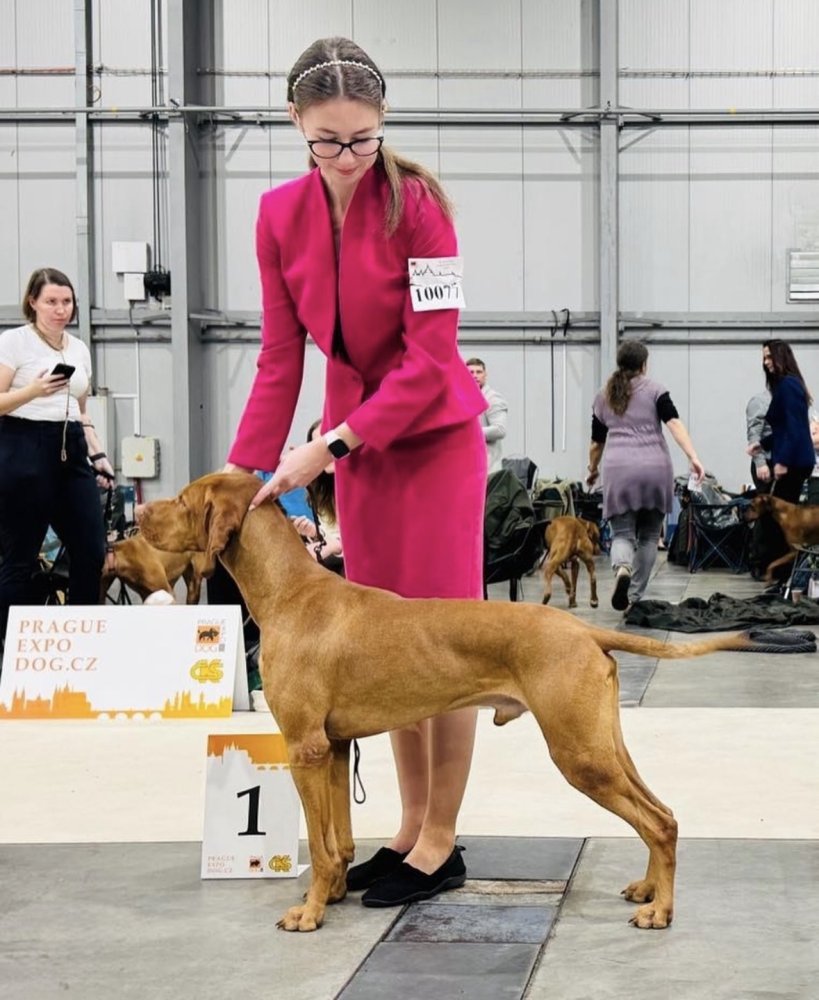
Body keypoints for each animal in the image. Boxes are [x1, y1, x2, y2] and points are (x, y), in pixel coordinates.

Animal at [140, 472, 753, 933]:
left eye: (183, 500)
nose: (139, 514)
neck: (292, 592)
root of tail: (584, 632)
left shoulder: (304, 749)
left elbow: (318, 839)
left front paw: (309, 913)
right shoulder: (332, 748)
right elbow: (337, 840)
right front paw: (333, 893)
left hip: (579, 754)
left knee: (656, 821)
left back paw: (662, 910)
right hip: (604, 745)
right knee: (662, 813)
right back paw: (649, 887)